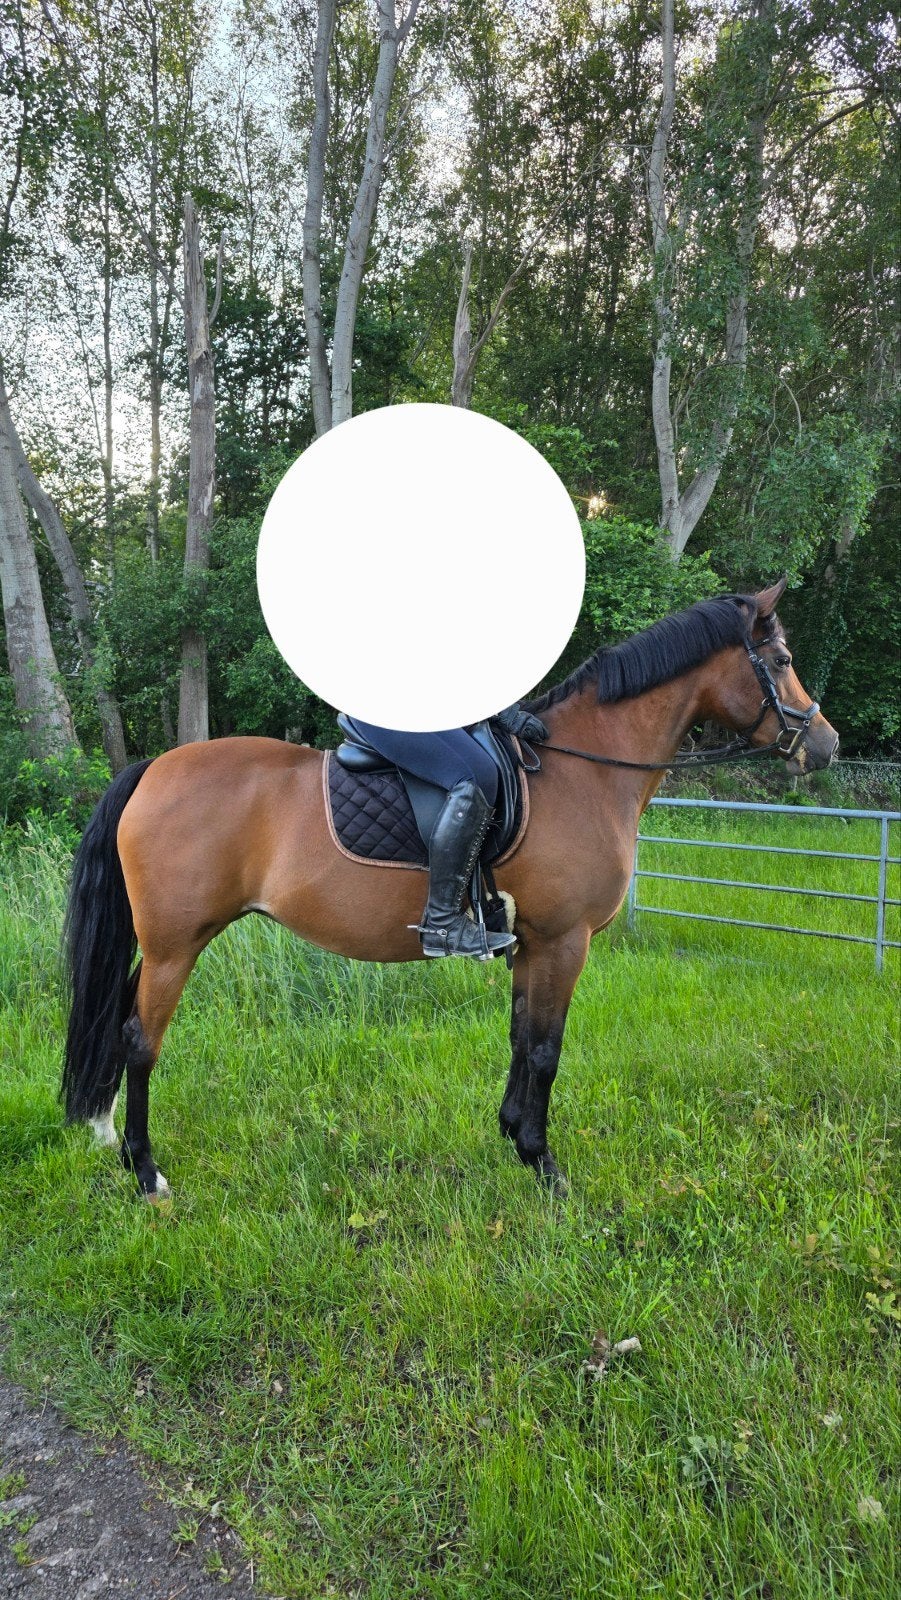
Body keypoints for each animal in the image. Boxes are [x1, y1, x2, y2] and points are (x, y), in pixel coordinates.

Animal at [61, 579, 838, 1199]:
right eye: (780, 662)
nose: (824, 746)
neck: (583, 770)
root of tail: (154, 769)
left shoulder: (531, 942)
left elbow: (522, 1038)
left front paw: (514, 1137)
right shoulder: (564, 940)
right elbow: (546, 1050)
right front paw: (546, 1168)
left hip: (165, 942)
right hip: (175, 945)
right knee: (139, 1041)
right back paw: (147, 1173)